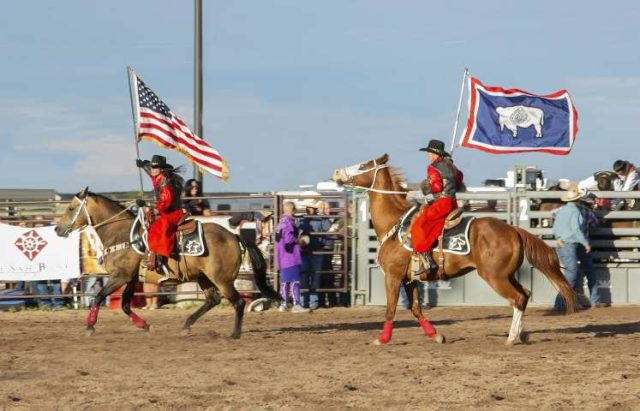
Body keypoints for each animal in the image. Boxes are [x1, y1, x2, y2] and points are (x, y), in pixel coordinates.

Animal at [52, 188, 278, 340]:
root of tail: (234, 236)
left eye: (71, 208)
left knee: (238, 302)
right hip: (203, 277)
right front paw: (145, 326)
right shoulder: (132, 279)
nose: (57, 229)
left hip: (222, 279)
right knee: (212, 300)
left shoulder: (120, 277)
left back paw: (234, 333)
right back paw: (186, 324)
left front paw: (90, 326)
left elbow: (99, 296)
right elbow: (125, 305)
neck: (121, 234)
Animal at [332, 156, 576, 346]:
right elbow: (416, 309)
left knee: (517, 298)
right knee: (524, 294)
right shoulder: (409, 280)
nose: (337, 172)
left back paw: (511, 337)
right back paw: (521, 334)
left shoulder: (393, 277)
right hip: (507, 274)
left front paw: (382, 339)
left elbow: (391, 308)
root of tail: (513, 229)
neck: (395, 223)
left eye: (363, 165)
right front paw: (436, 336)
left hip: (495, 276)